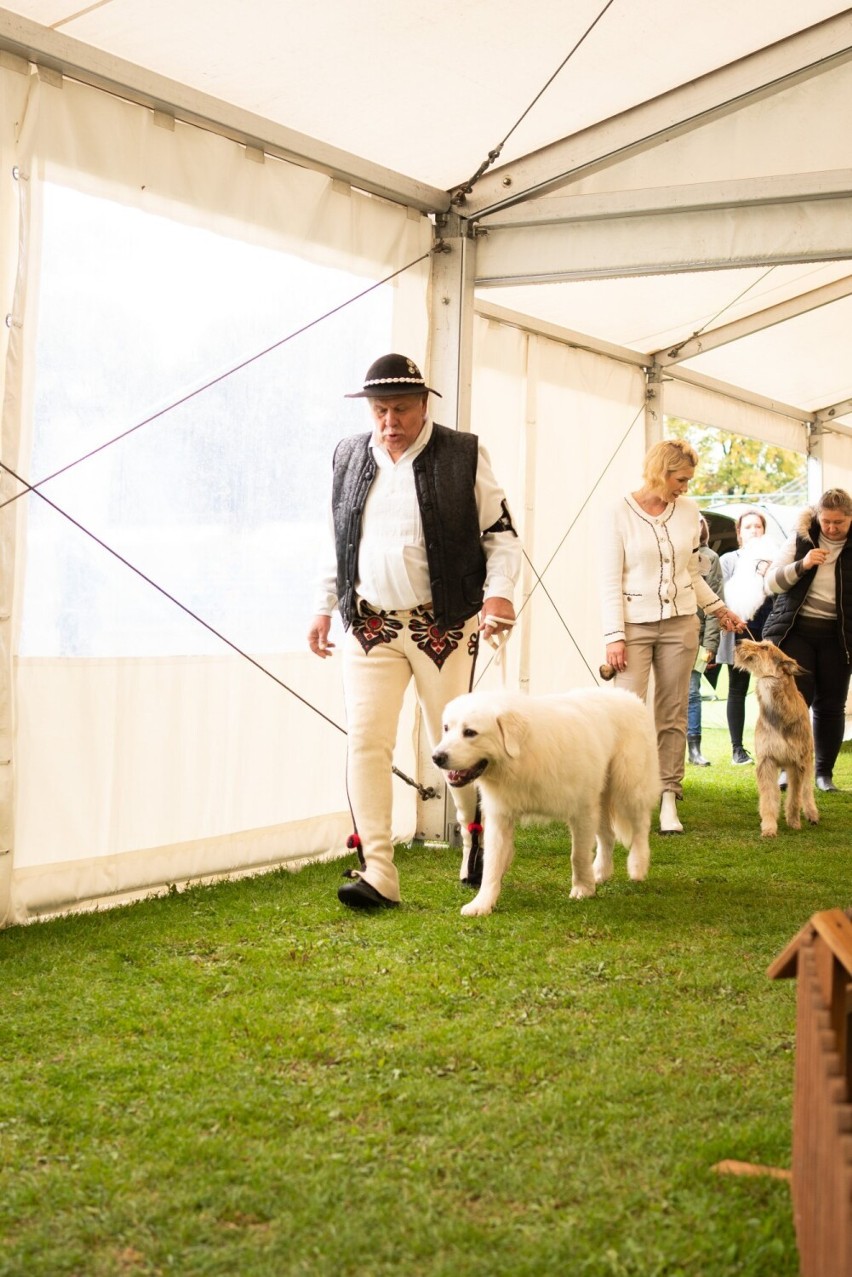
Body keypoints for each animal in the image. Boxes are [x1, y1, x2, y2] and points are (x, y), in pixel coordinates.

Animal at [434, 694, 659, 914]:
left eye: (470, 732)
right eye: (446, 728)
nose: (436, 757)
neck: (523, 755)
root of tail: (632, 698)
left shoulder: (582, 810)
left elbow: (578, 855)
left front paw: (582, 889)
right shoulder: (500, 817)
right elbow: (492, 863)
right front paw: (481, 903)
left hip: (628, 787)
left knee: (640, 828)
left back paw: (637, 866)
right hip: (602, 798)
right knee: (607, 837)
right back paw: (600, 872)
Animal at [735, 638, 817, 837]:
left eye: (765, 647)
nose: (738, 640)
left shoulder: (797, 763)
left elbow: (795, 797)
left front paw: (794, 822)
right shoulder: (767, 761)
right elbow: (768, 798)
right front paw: (769, 827)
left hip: (808, 758)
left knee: (806, 789)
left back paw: (812, 813)